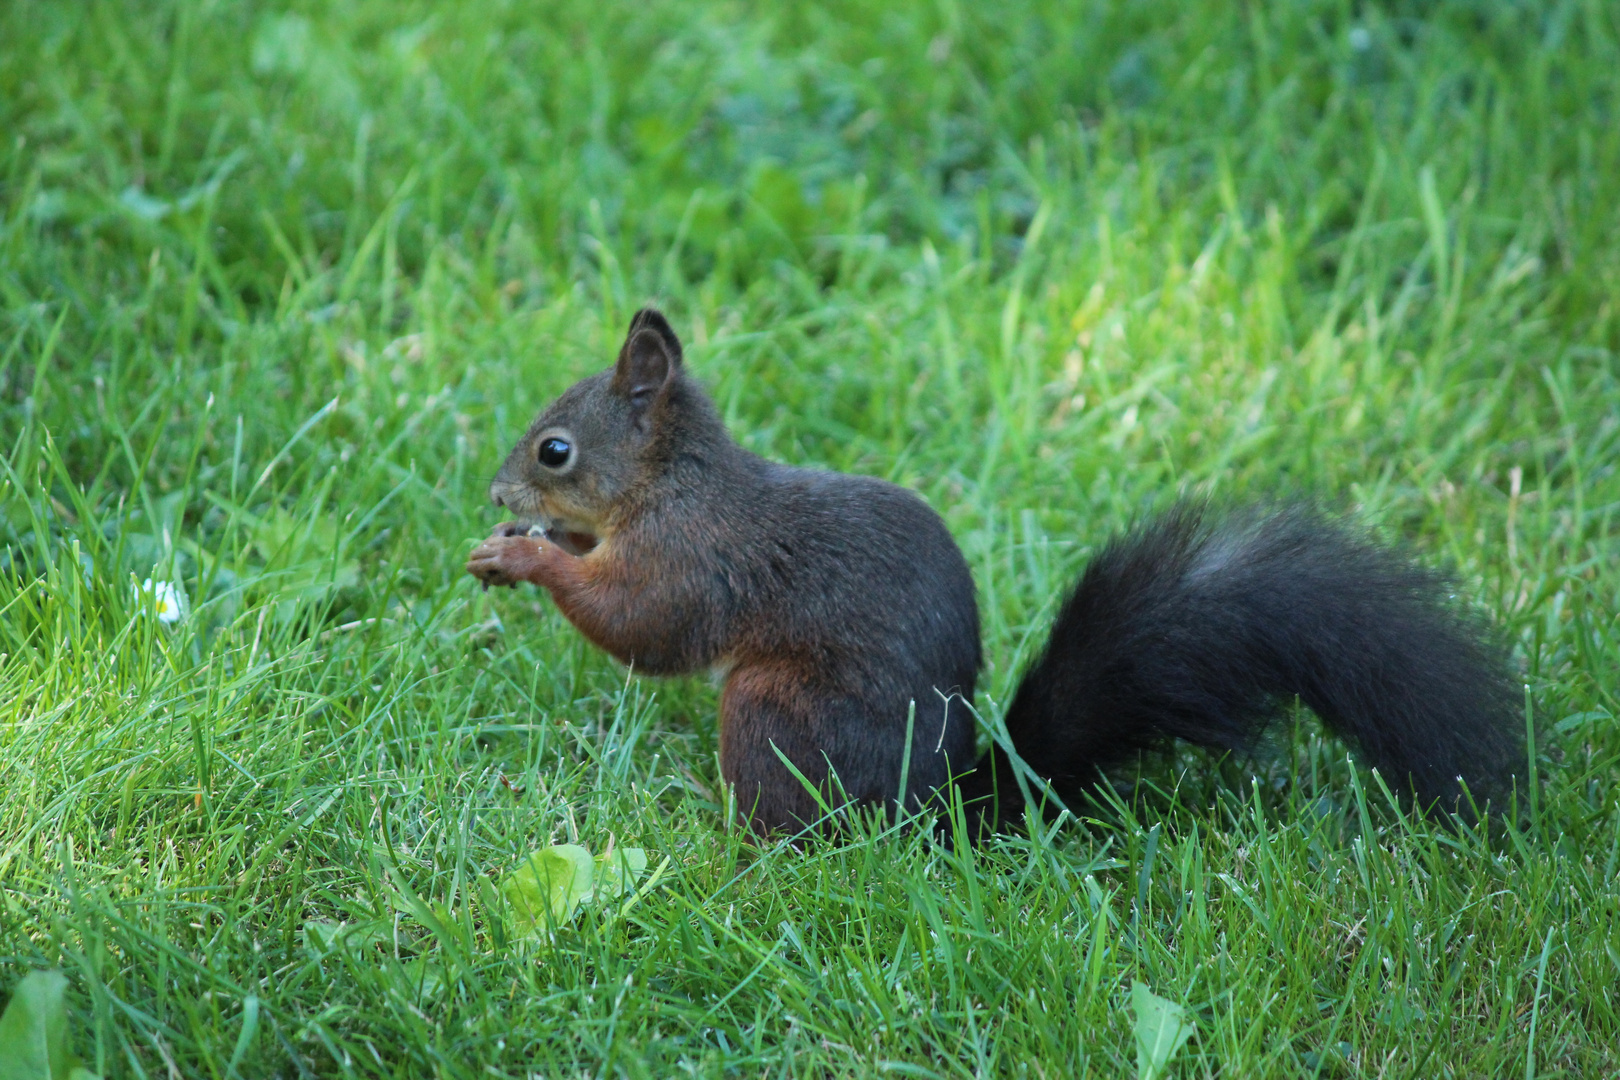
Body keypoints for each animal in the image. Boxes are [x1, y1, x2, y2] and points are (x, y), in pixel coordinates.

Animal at [463, 307, 1522, 841]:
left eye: (556, 450)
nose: (495, 489)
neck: (668, 482)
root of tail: (936, 812)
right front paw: (523, 543)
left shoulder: (693, 557)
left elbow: (641, 627)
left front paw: (523, 554)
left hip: (773, 709)